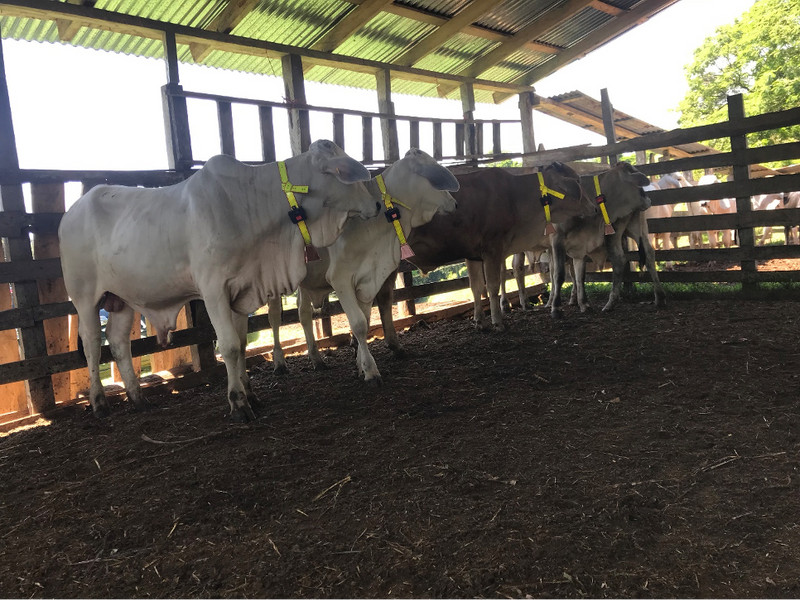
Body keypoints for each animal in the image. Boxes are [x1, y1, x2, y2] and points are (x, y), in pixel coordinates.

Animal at [59, 140, 379, 422]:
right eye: (351, 174)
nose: (376, 203)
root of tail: (70, 213)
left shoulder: (242, 289)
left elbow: (242, 343)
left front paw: (251, 394)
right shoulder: (213, 290)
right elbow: (229, 346)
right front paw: (238, 403)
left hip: (121, 297)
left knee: (118, 340)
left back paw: (138, 398)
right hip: (84, 295)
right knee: (92, 342)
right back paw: (99, 403)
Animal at [266, 149, 459, 384]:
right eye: (435, 175)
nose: (454, 203)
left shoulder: (368, 277)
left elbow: (365, 321)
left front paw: (359, 364)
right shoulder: (340, 278)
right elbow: (358, 323)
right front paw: (370, 370)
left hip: (306, 281)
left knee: (303, 313)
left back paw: (316, 359)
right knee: (274, 316)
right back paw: (279, 362)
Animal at [373, 161, 597, 345]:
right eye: (577, 180)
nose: (594, 207)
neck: (517, 197)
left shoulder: (473, 255)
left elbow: (476, 287)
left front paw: (479, 321)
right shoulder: (493, 249)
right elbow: (493, 286)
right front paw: (498, 321)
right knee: (384, 299)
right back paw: (392, 343)